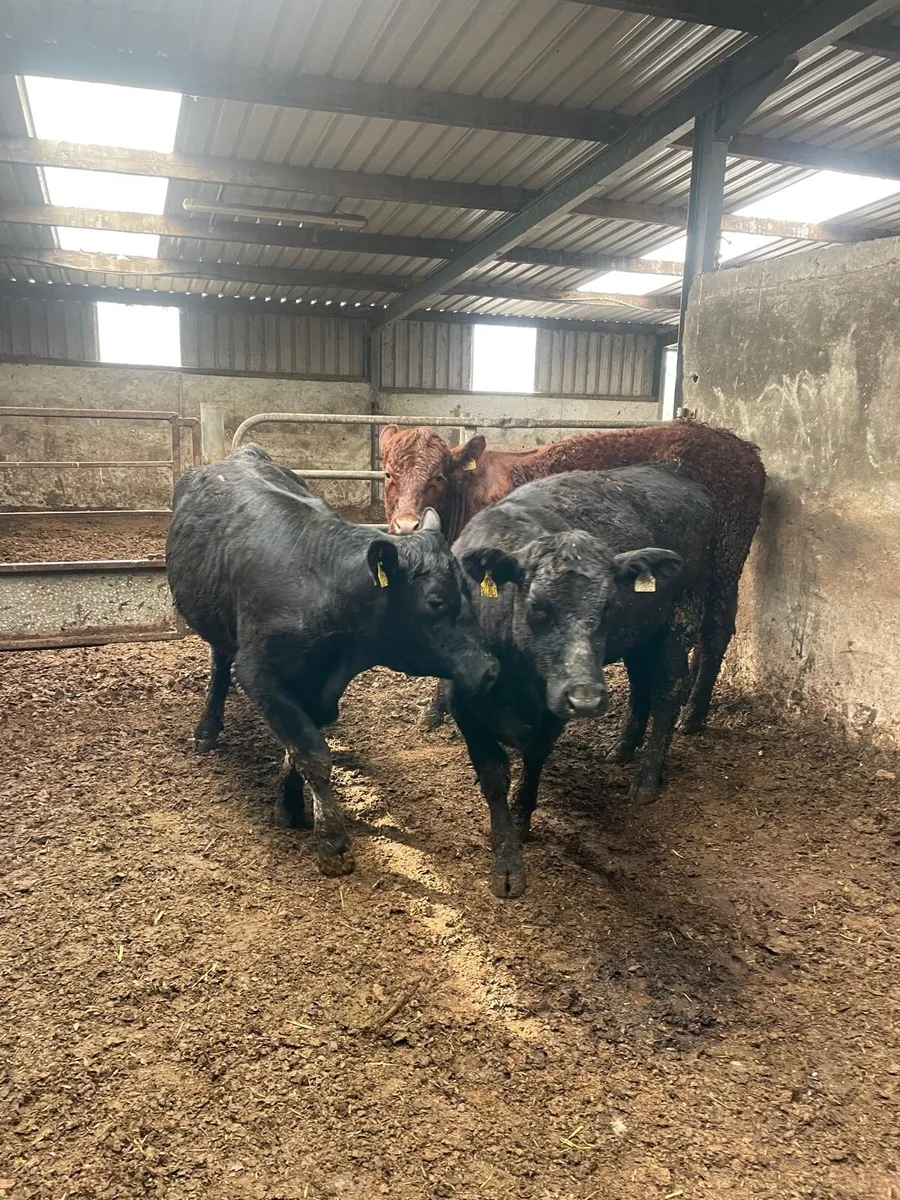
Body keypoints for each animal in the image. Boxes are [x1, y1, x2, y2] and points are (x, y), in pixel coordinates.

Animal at [166, 444, 499, 877]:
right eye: (436, 601)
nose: (489, 669)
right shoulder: (259, 675)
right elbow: (311, 753)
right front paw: (332, 842)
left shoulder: (321, 688)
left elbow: (296, 750)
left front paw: (290, 806)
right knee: (220, 665)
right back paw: (206, 729)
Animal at [380, 419, 764, 734]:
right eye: (388, 475)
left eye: (438, 477)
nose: (406, 525)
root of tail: (742, 447)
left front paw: (436, 709)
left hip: (724, 562)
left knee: (715, 630)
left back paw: (693, 715)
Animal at [447, 465, 717, 898]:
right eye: (537, 606)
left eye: (609, 606)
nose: (586, 699)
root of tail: (682, 482)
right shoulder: (465, 704)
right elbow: (493, 776)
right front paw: (505, 857)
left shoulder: (553, 707)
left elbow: (535, 756)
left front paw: (520, 822)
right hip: (639, 635)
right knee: (641, 686)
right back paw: (622, 749)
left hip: (679, 619)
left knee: (667, 691)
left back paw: (647, 778)